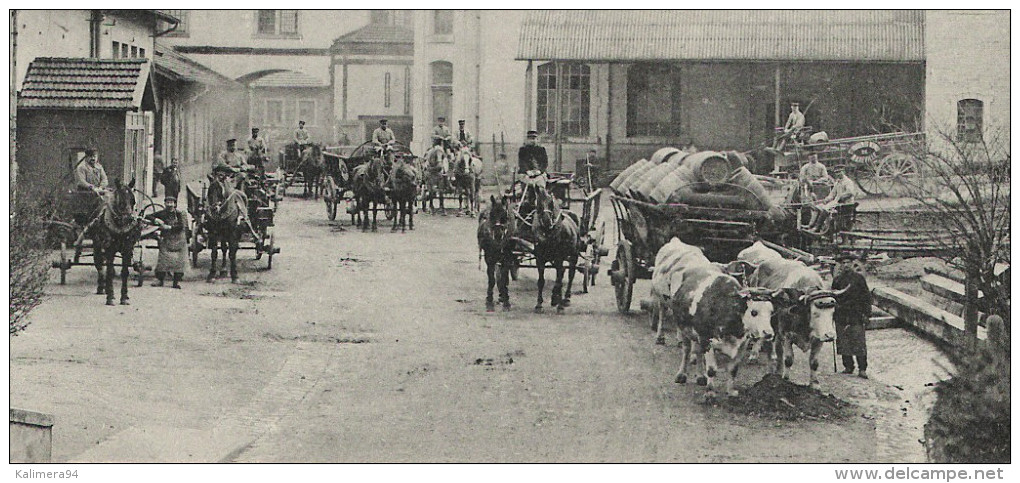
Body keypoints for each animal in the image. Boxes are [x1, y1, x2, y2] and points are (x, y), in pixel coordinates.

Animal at [90, 177, 143, 305]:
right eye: (121, 202)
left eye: (133, 201)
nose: (130, 220)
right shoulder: (110, 249)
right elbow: (109, 271)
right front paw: (110, 297)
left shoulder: (127, 249)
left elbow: (124, 272)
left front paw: (124, 297)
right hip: (97, 245)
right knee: (99, 264)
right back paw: (101, 287)